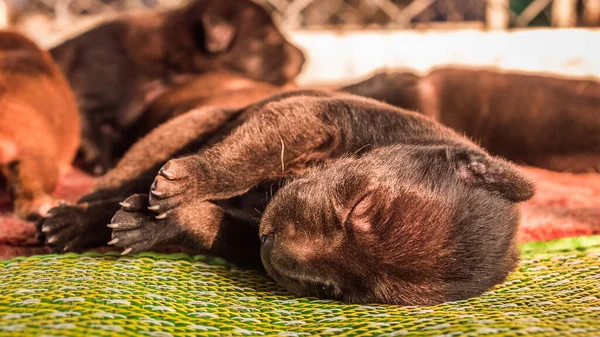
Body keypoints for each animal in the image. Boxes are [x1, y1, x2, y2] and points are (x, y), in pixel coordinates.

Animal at [38, 90, 536, 306]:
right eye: (359, 206)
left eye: (340, 291)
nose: (273, 247)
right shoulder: (309, 116)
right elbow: (246, 156)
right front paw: (195, 180)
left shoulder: (248, 241)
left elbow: (215, 225)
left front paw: (160, 222)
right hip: (180, 128)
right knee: (116, 182)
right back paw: (72, 219)